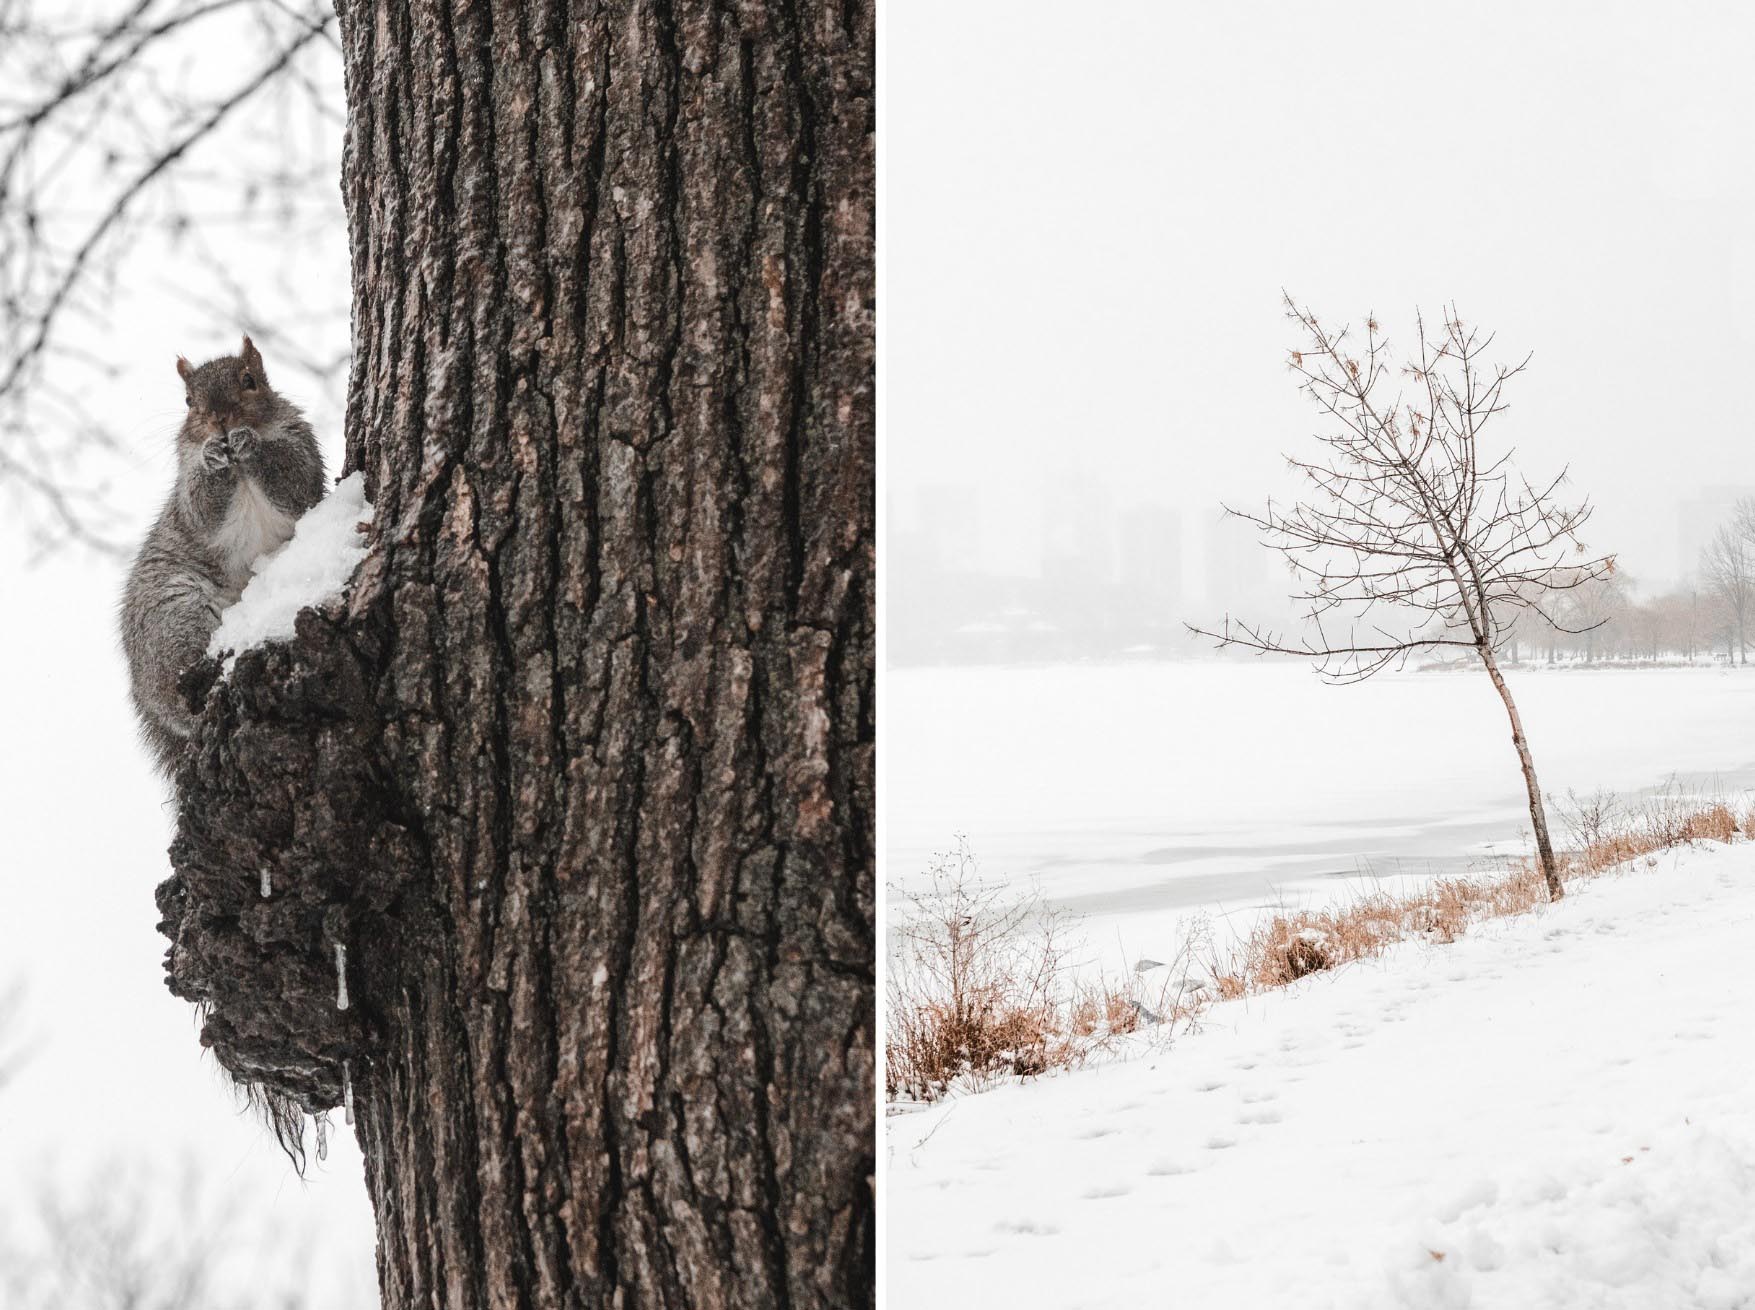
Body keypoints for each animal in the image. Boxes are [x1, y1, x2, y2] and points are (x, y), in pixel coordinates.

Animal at [120, 331, 326, 776]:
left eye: (249, 380)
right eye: (188, 401)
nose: (220, 419)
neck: (241, 473)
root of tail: (143, 694)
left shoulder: (304, 452)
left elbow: (295, 480)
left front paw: (250, 443)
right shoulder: (187, 497)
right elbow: (201, 506)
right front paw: (213, 457)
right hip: (172, 613)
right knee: (178, 691)